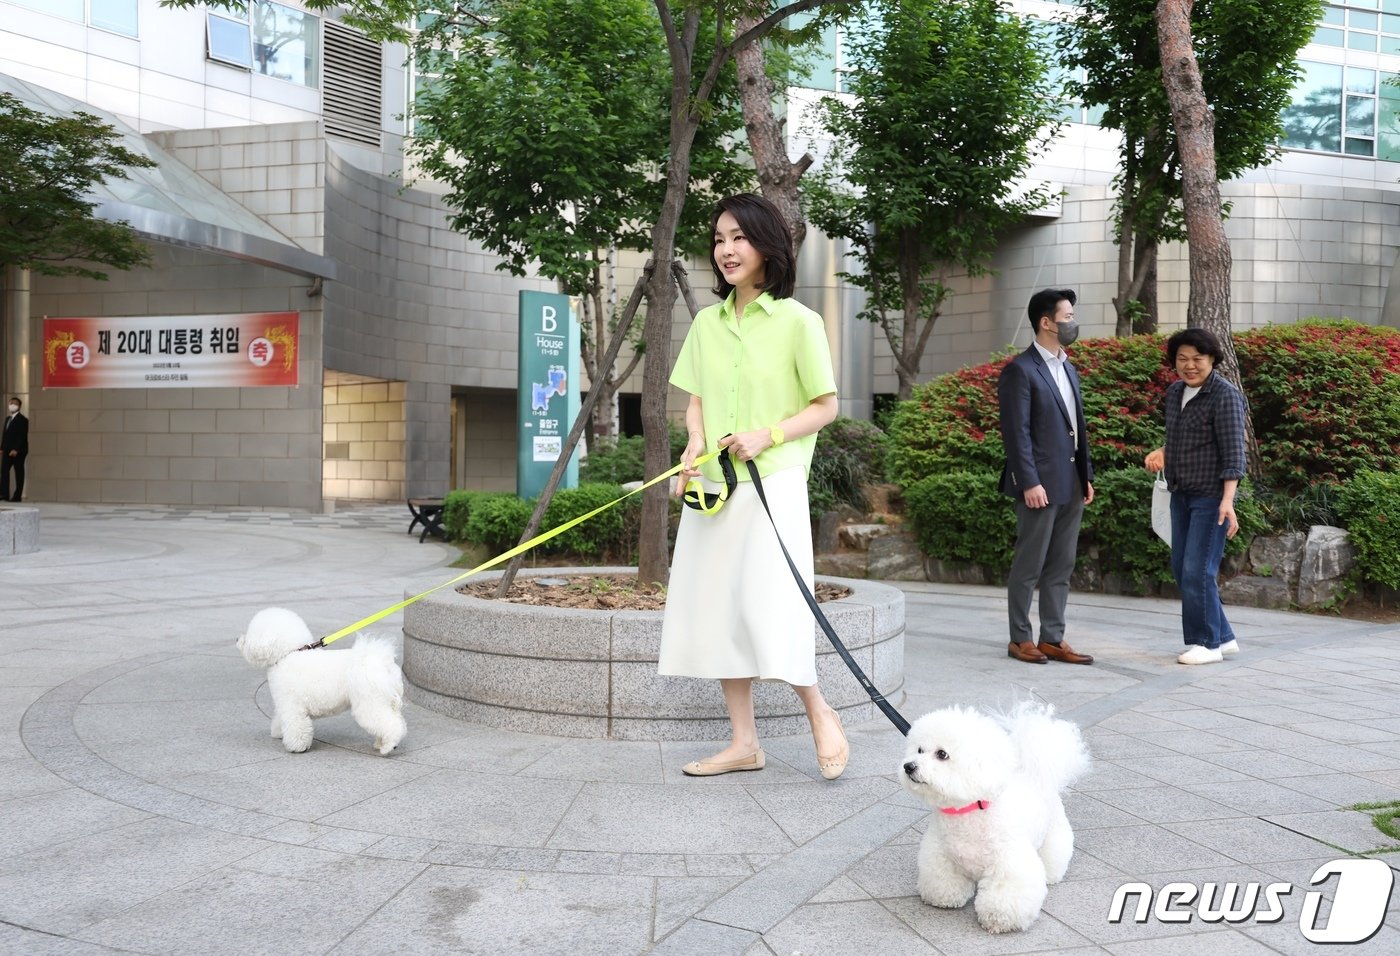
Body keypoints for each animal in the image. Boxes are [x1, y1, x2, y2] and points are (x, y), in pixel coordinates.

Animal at [236, 610, 406, 761]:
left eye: (250, 633)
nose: (237, 639)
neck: (288, 653)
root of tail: (383, 664)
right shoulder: (284, 704)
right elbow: (280, 719)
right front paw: (278, 733)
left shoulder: (292, 706)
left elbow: (296, 726)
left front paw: (297, 747)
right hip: (384, 701)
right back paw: (381, 743)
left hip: (370, 701)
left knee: (391, 725)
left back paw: (388, 746)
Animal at [896, 702, 1092, 935]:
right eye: (919, 750)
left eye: (942, 754)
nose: (909, 766)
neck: (968, 811)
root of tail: (1033, 774)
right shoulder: (940, 855)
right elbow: (944, 879)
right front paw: (943, 898)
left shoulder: (1008, 862)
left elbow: (1005, 892)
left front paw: (999, 920)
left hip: (1054, 830)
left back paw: (1052, 875)